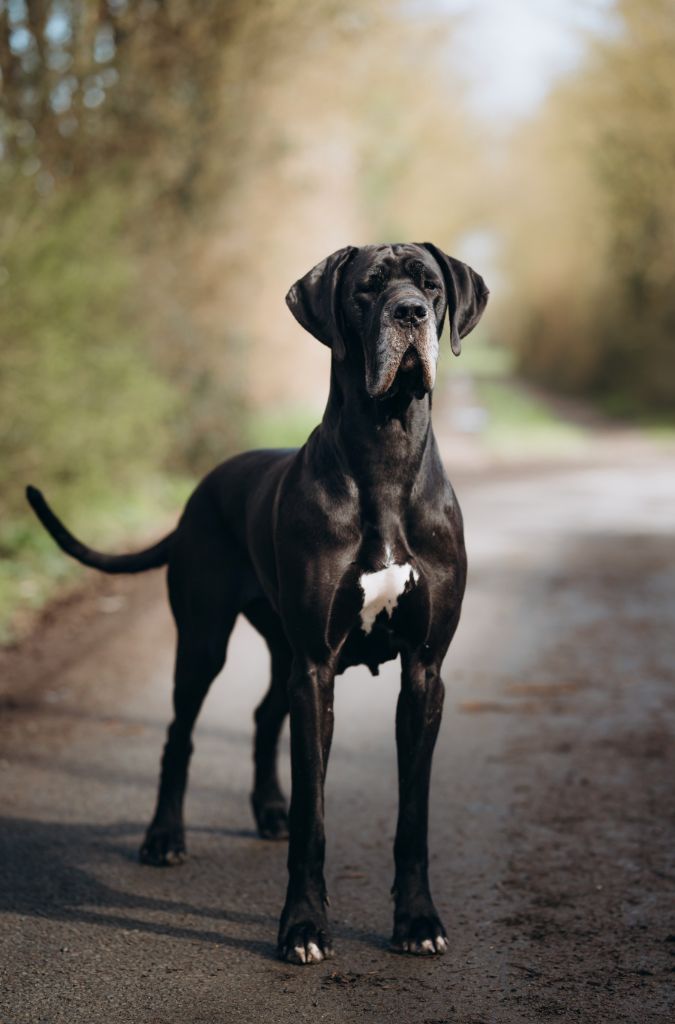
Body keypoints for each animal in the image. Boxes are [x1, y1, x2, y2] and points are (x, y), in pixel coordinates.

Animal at [26, 243, 487, 962]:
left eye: (432, 287)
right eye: (367, 288)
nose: (410, 314)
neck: (384, 455)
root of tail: (199, 490)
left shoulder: (422, 671)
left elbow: (412, 816)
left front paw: (416, 921)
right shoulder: (316, 667)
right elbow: (312, 816)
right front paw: (302, 926)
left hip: (280, 647)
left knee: (264, 714)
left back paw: (266, 810)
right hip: (204, 640)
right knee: (180, 734)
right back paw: (165, 837)